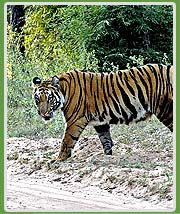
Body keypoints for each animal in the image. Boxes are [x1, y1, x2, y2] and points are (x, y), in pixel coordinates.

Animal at [32, 64, 173, 161]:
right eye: (38, 99)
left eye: (50, 98)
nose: (43, 113)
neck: (64, 90)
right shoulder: (100, 123)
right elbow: (106, 140)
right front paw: (108, 156)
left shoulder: (75, 120)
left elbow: (67, 141)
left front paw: (58, 159)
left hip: (165, 110)